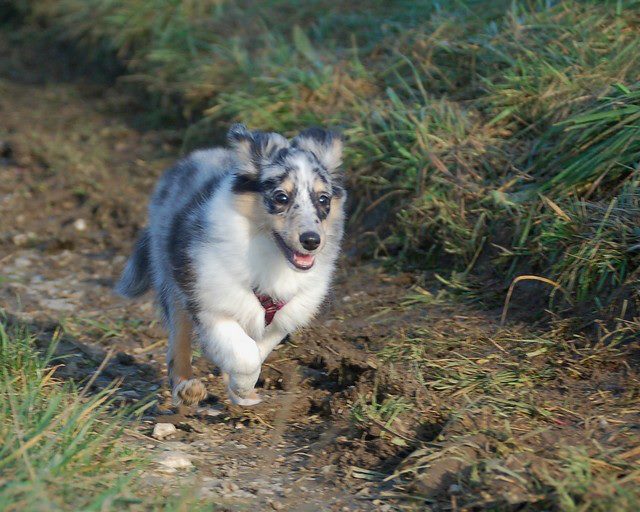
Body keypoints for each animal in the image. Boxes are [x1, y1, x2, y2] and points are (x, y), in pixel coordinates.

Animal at [115, 123, 344, 404]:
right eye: (281, 197)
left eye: (323, 199)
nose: (312, 240)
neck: (271, 256)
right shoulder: (211, 306)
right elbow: (245, 356)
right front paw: (243, 387)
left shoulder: (282, 318)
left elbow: (257, 350)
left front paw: (239, 390)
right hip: (173, 277)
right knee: (179, 337)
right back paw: (186, 387)